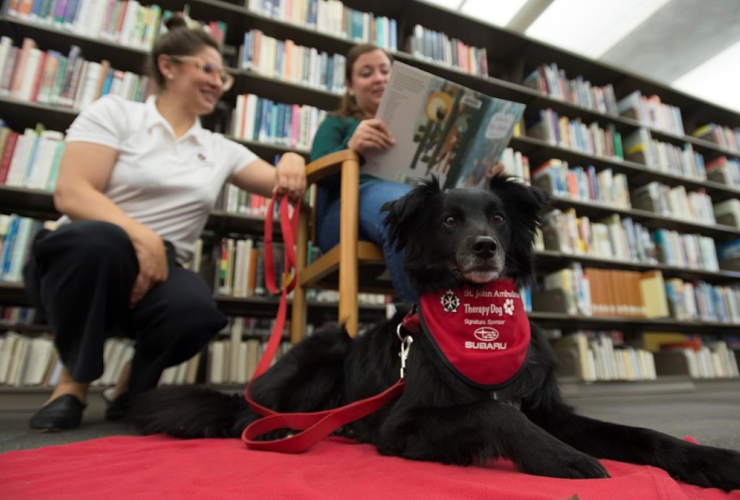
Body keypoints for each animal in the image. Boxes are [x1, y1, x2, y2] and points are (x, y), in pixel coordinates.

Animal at [133, 176, 740, 492]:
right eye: (450, 220)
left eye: (498, 219)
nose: (485, 247)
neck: (478, 322)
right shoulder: (403, 423)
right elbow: (493, 413)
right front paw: (562, 459)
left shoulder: (548, 407)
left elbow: (643, 434)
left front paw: (713, 462)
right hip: (324, 347)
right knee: (248, 417)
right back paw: (292, 426)